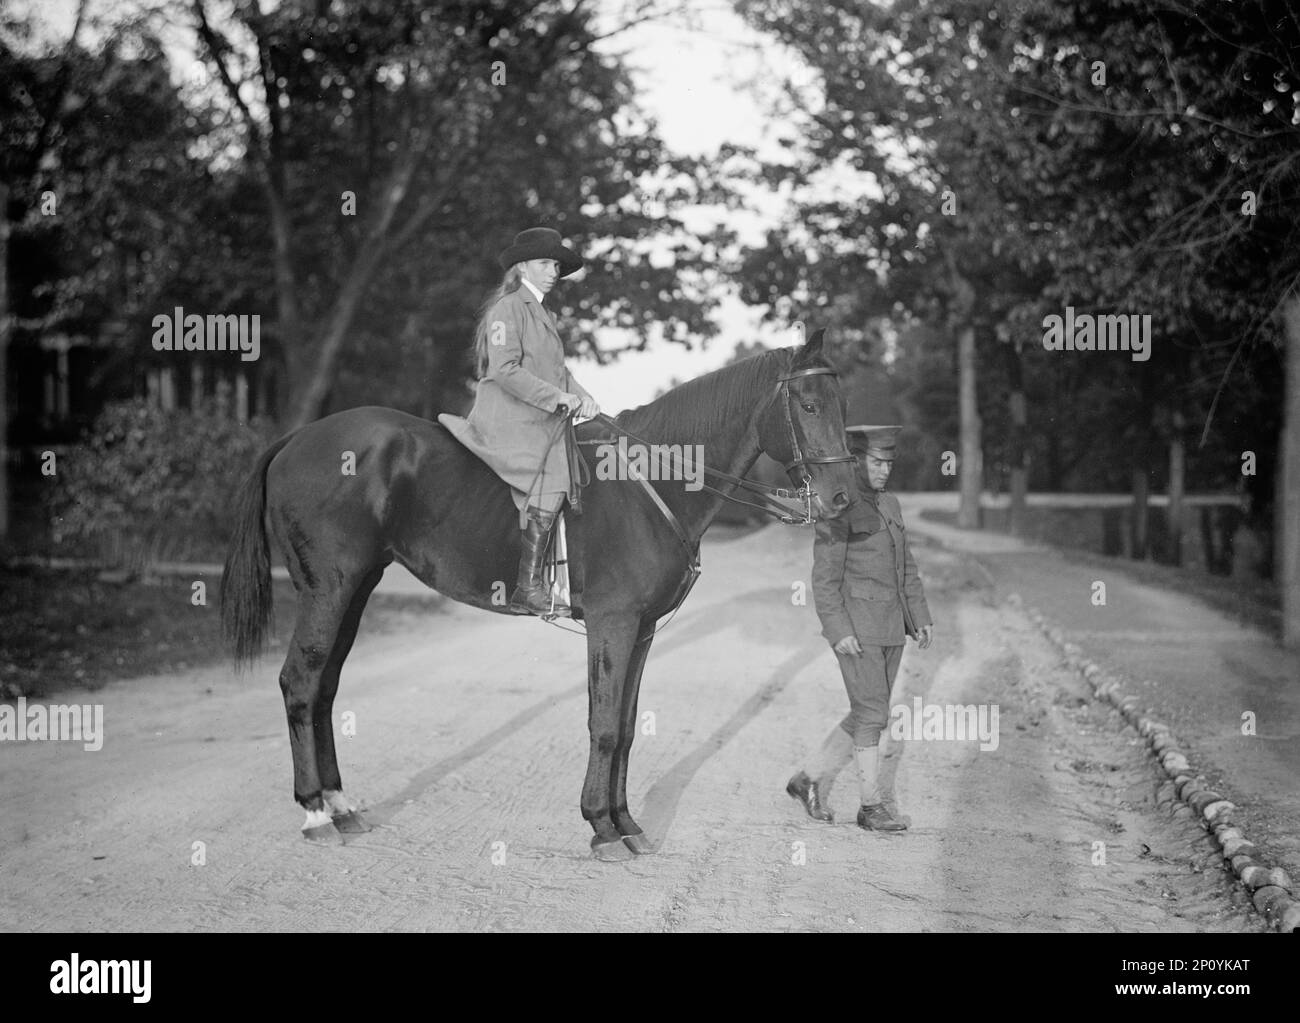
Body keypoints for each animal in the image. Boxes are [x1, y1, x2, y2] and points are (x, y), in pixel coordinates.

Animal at [218, 327, 857, 857]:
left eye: (840, 403)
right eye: (808, 405)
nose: (842, 498)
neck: (650, 483)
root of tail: (298, 438)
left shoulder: (642, 630)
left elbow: (626, 727)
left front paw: (626, 824)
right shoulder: (612, 623)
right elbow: (604, 725)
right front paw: (601, 827)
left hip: (354, 590)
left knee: (325, 688)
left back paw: (339, 805)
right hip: (328, 589)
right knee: (300, 683)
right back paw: (314, 814)